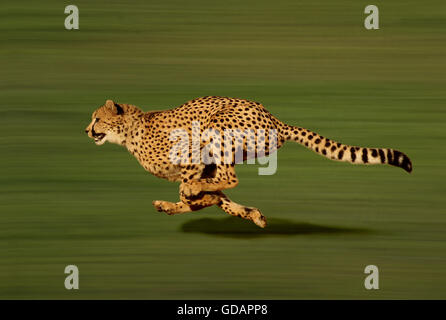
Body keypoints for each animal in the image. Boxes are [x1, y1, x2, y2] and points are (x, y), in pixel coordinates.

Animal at [85, 96, 412, 229]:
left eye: (97, 119)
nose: (87, 130)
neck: (131, 131)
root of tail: (276, 119)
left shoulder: (193, 154)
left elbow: (196, 191)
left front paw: (189, 198)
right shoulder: (205, 167)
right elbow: (217, 197)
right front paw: (250, 213)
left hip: (217, 125)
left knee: (231, 177)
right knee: (225, 182)